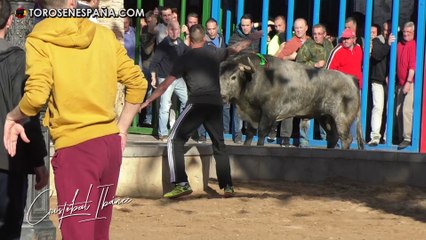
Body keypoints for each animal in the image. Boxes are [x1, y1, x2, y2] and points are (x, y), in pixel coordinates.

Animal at [221, 53, 364, 149]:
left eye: (234, 77)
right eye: (220, 75)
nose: (222, 96)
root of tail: (351, 79)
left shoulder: (269, 114)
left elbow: (261, 133)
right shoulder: (252, 115)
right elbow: (250, 134)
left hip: (342, 119)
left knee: (346, 138)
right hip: (325, 118)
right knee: (333, 137)